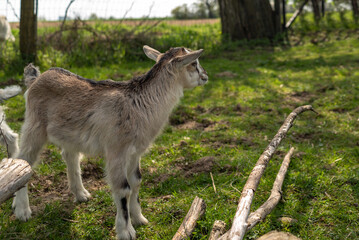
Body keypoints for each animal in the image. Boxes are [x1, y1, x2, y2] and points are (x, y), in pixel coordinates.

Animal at [12, 46, 208, 239]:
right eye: (194, 63)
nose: (205, 76)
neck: (140, 105)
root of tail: (35, 79)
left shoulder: (135, 153)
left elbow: (136, 181)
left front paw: (139, 218)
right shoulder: (116, 151)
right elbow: (123, 188)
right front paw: (126, 231)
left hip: (69, 134)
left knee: (69, 156)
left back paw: (81, 194)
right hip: (34, 125)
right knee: (23, 161)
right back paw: (22, 210)